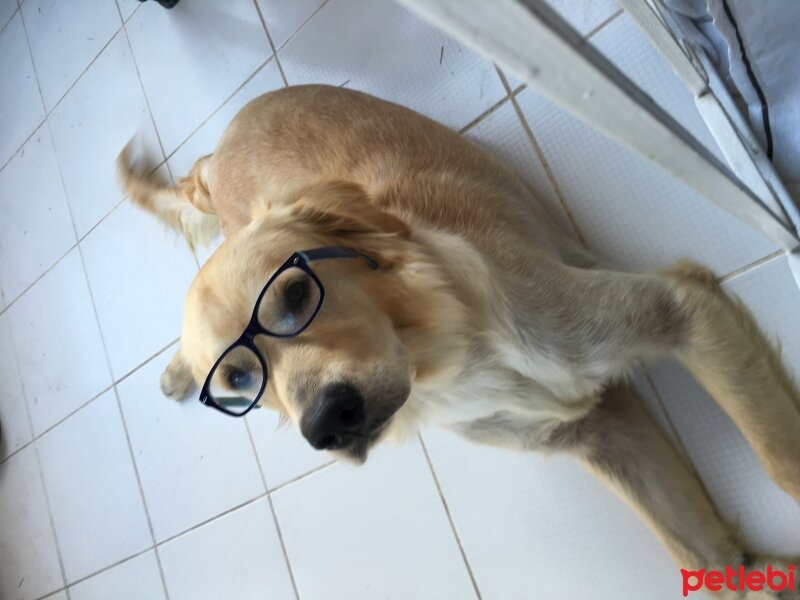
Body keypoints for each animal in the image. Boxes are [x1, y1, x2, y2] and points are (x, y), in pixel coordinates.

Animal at [119, 83, 800, 596]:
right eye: (239, 380)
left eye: (294, 293)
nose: (326, 424)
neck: (454, 357)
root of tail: (215, 157)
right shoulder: (598, 428)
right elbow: (705, 555)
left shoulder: (677, 309)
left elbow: (780, 461)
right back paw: (175, 372)